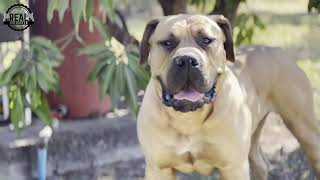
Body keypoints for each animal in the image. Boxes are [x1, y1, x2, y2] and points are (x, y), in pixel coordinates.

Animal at [136, 14, 320, 180]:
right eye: (167, 42)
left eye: (206, 40)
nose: (187, 59)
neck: (189, 119)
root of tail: (275, 49)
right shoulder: (159, 169)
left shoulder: (233, 168)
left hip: (305, 130)